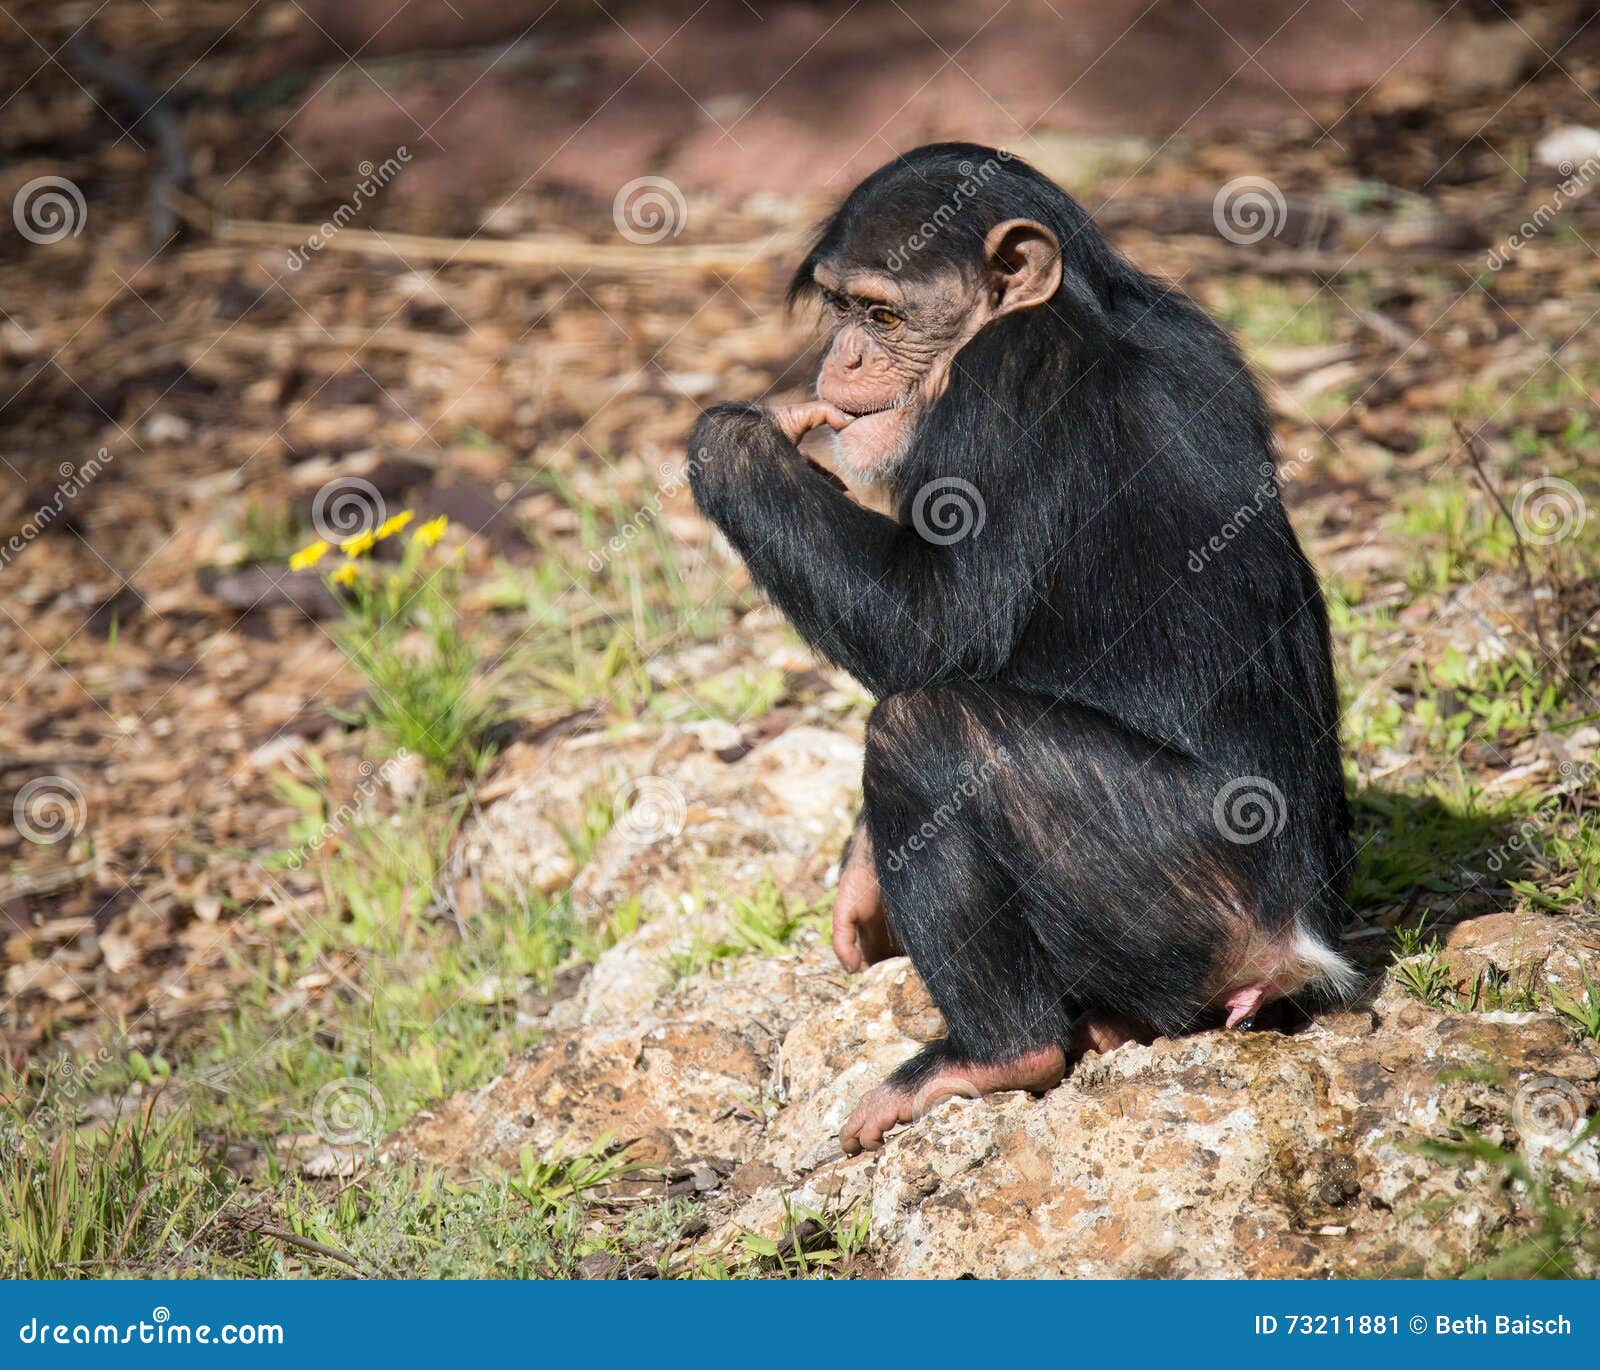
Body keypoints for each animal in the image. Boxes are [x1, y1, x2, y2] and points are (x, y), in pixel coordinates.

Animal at [688, 144, 1350, 1152]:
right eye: (840, 308)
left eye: (883, 315)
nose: (843, 356)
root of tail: (1302, 938)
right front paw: (859, 876)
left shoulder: (1005, 389)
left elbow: (937, 626)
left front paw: (737, 439)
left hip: (1191, 895)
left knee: (929, 733)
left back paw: (995, 1054)